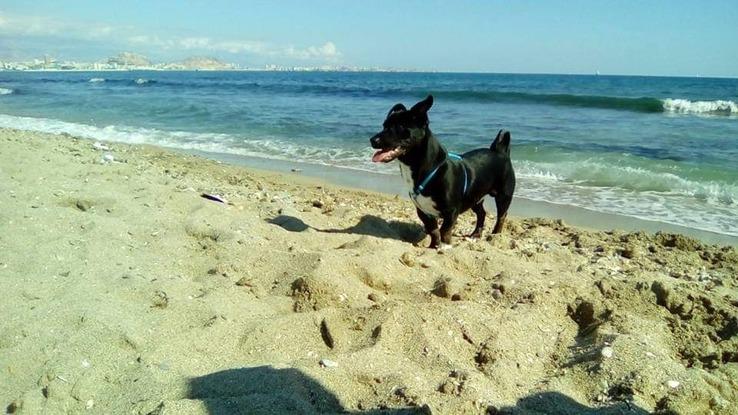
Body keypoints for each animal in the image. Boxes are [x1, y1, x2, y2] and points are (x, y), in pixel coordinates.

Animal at [368, 96, 512, 249]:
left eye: (399, 127)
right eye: (384, 126)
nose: (372, 140)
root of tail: (500, 151)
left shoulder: (451, 211)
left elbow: (444, 230)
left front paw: (445, 245)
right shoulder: (423, 211)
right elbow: (433, 231)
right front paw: (434, 246)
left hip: (504, 196)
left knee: (501, 216)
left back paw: (495, 235)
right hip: (475, 198)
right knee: (482, 213)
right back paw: (476, 234)